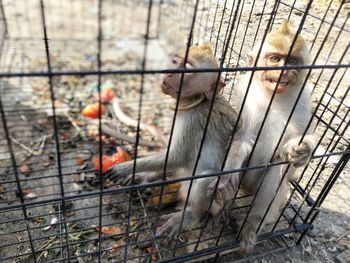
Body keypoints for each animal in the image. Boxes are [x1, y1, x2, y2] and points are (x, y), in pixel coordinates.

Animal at [105, 44, 239, 239]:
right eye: (175, 61)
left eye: (187, 68)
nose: (168, 72)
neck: (196, 101)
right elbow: (171, 158)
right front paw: (144, 175)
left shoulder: (193, 120)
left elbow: (176, 156)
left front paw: (126, 167)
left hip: (221, 199)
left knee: (205, 180)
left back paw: (191, 214)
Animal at [206, 21, 316, 253]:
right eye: (275, 59)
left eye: (292, 61)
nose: (284, 71)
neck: (273, 96)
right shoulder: (246, 96)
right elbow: (243, 137)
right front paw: (223, 181)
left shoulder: (303, 100)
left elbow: (295, 149)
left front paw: (302, 152)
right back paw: (220, 206)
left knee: (276, 167)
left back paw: (252, 223)